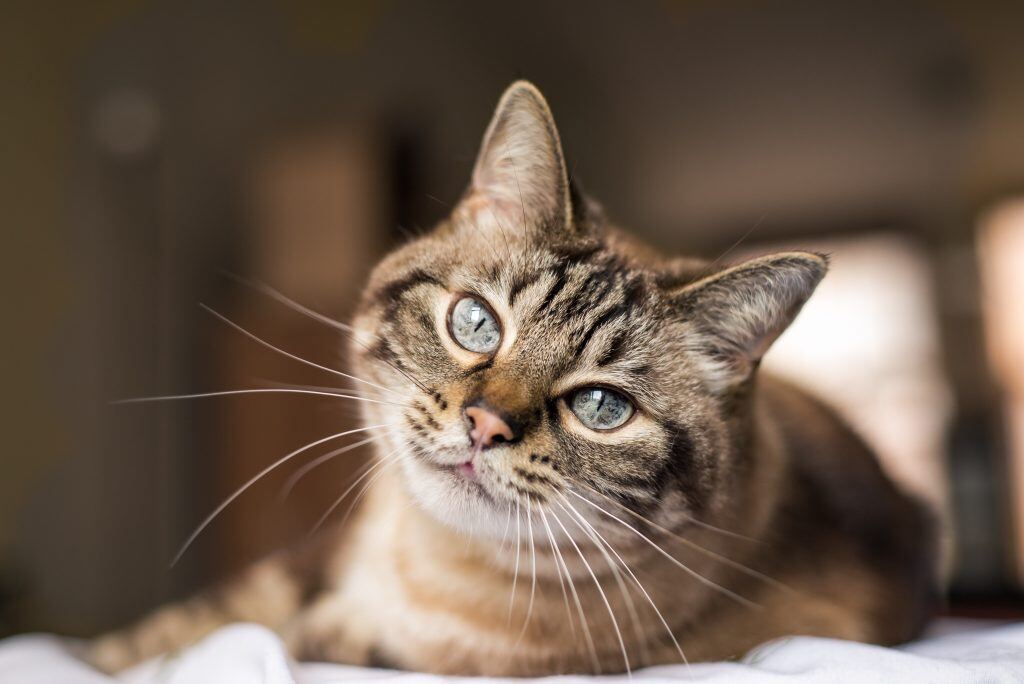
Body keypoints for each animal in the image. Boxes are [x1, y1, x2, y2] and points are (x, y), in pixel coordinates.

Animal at [92, 82, 937, 675]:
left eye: (601, 406)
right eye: (476, 324)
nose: (485, 425)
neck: (423, 564)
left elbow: (313, 640)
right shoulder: (310, 560)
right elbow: (175, 630)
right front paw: (109, 654)